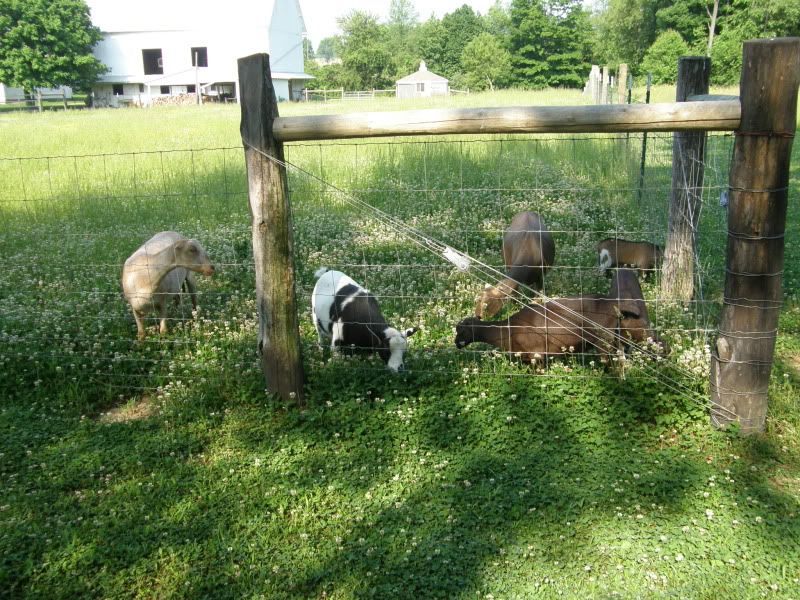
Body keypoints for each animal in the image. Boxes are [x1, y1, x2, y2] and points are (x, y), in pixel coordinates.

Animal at [456, 269, 659, 361]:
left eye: (461, 330)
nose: (456, 343)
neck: (506, 329)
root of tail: (612, 303)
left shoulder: (537, 356)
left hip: (605, 341)